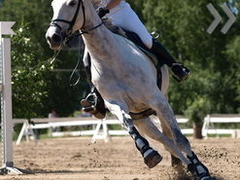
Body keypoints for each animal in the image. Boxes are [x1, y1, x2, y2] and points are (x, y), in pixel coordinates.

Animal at [45, 0, 214, 179]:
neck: (109, 57)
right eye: (53, 5)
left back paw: (193, 167)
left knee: (172, 137)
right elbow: (127, 123)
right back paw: (184, 167)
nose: (52, 37)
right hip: (141, 118)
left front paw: (202, 171)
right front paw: (148, 153)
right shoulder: (114, 103)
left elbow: (181, 139)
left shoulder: (157, 100)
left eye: (72, 3)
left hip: (162, 103)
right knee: (165, 140)